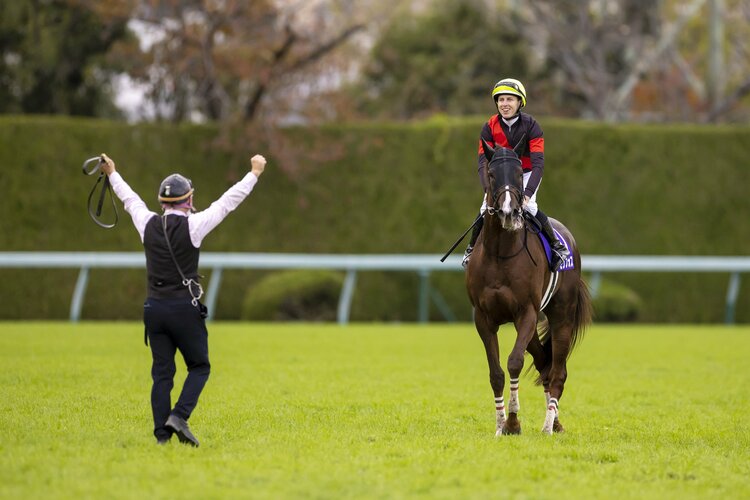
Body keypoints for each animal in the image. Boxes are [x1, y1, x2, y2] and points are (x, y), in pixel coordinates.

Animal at [465, 141, 592, 436]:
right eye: (491, 174)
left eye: (517, 175)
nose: (509, 212)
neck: (500, 253)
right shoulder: (483, 318)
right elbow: (496, 373)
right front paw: (500, 424)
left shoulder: (526, 313)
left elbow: (514, 362)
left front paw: (513, 422)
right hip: (533, 326)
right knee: (545, 363)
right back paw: (554, 420)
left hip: (561, 316)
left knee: (557, 371)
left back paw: (548, 425)